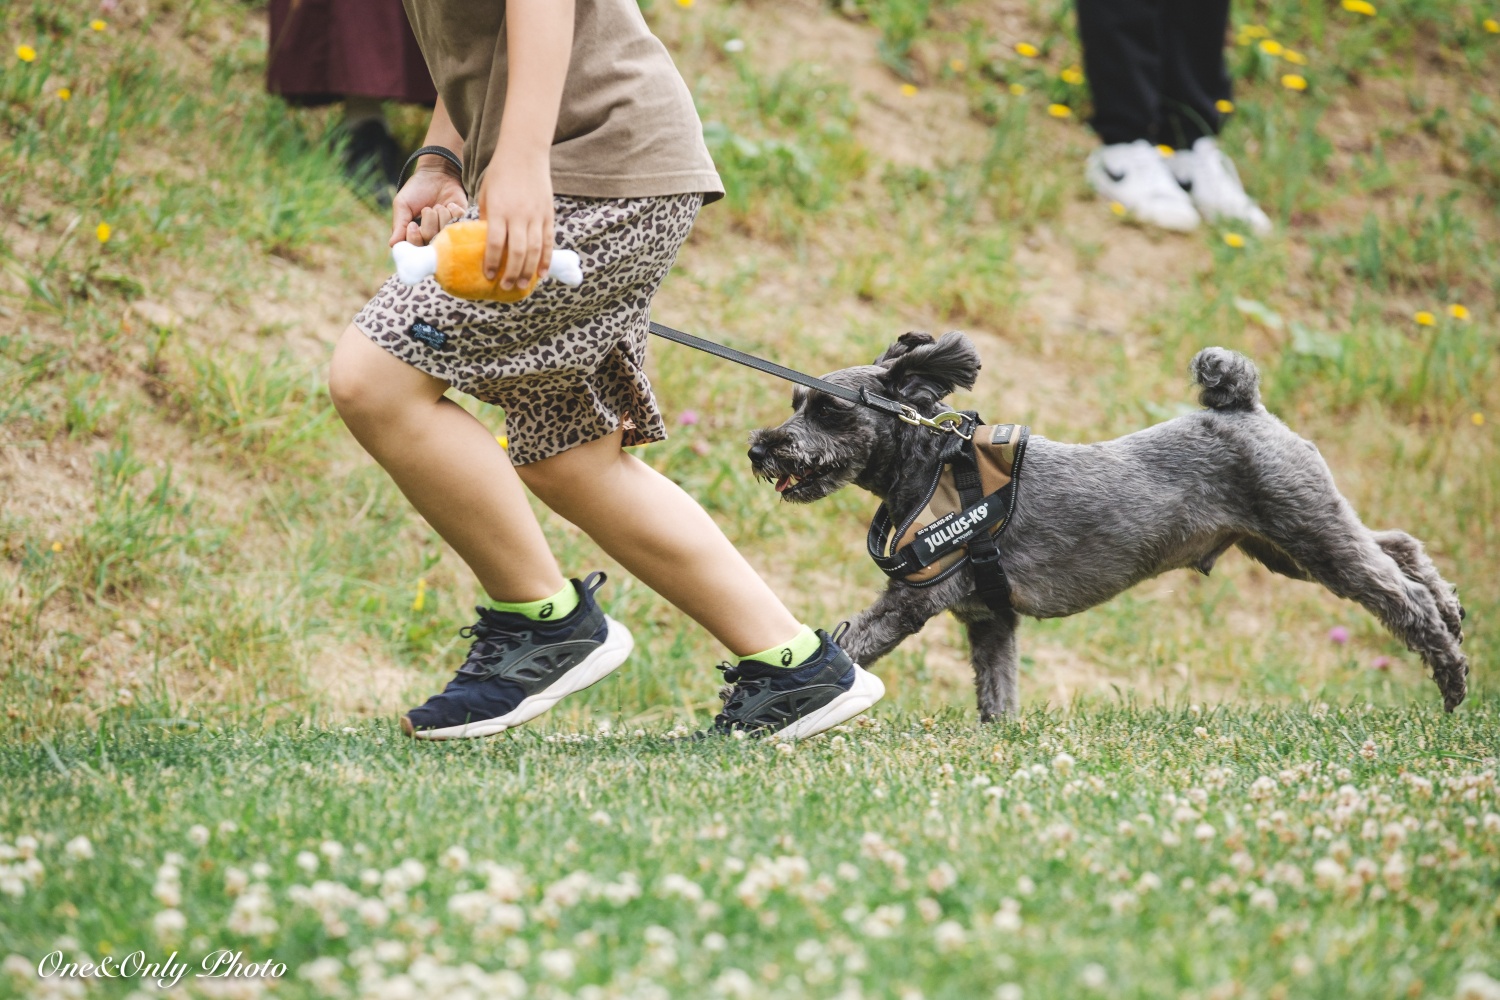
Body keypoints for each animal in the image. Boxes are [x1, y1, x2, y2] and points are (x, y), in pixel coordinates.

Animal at [744, 334, 1470, 719]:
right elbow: (996, 694)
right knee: (1397, 543)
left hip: (1311, 537)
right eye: (795, 403)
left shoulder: (910, 603)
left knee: (1396, 594)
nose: (761, 448)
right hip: (1287, 544)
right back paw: (1453, 606)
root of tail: (1244, 406)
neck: (929, 467)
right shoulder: (989, 618)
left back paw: (1452, 672)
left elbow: (853, 642)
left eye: (829, 411)